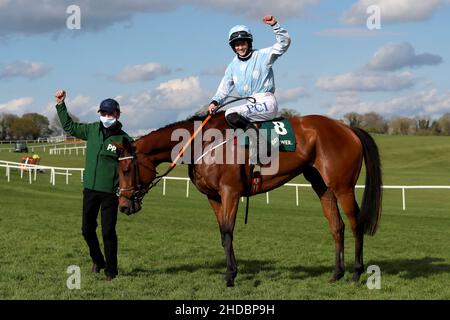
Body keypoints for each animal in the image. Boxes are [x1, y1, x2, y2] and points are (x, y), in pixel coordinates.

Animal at [113, 111, 384, 286]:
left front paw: (230, 275)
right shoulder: (214, 197)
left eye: (125, 170)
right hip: (322, 186)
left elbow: (228, 232)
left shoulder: (230, 192)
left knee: (356, 224)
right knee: (336, 227)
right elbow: (223, 234)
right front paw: (231, 271)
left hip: (343, 187)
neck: (204, 143)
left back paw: (357, 273)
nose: (124, 206)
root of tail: (348, 128)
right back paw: (337, 273)